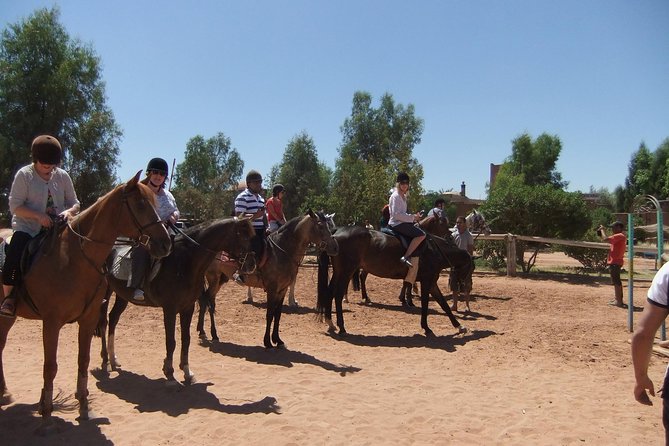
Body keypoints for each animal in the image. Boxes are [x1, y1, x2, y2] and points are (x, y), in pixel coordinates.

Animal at [0, 172, 172, 433]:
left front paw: (84, 406)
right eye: (141, 204)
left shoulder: (88, 320)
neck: (74, 259)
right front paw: (47, 415)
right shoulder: (51, 323)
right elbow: (50, 367)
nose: (165, 244)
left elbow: (83, 360)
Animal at [96, 216, 255, 384]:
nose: (252, 264)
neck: (185, 263)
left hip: (121, 296)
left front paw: (187, 371)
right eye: (243, 236)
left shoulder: (188, 307)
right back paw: (105, 361)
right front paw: (170, 373)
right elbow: (171, 341)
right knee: (103, 322)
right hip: (104, 293)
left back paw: (113, 359)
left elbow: (186, 339)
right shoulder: (170, 309)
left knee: (113, 318)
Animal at [196, 212, 338, 342]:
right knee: (207, 301)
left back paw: (205, 332)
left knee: (207, 300)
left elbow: (277, 314)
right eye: (320, 226)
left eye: (329, 226)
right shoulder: (272, 289)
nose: (335, 247)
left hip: (220, 279)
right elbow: (270, 314)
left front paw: (277, 340)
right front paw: (268, 342)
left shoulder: (282, 289)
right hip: (213, 278)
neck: (281, 251)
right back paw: (208, 333)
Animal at [316, 225, 471, 337]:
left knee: (329, 293)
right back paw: (342, 327)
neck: (435, 250)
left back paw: (331, 323)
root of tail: (337, 232)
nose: (463, 286)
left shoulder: (432, 283)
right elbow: (425, 305)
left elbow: (444, 305)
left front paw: (459, 326)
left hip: (339, 272)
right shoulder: (427, 282)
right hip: (346, 272)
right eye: (469, 268)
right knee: (337, 295)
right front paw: (427, 328)